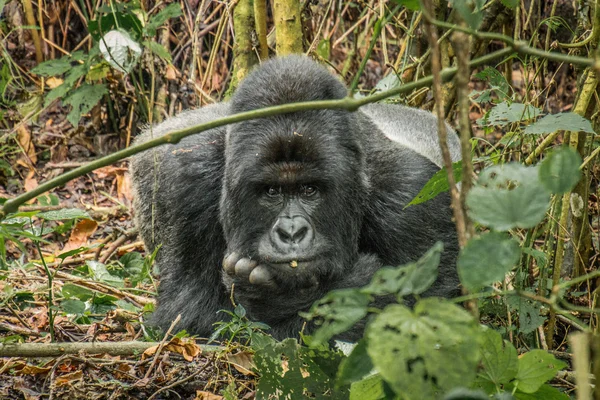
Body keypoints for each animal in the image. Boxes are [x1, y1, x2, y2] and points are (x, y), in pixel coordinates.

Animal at [130, 54, 460, 340]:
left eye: (309, 190)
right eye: (272, 191)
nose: (291, 232)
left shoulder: (413, 194)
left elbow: (430, 311)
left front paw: (273, 296)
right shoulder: (185, 179)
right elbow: (189, 312)